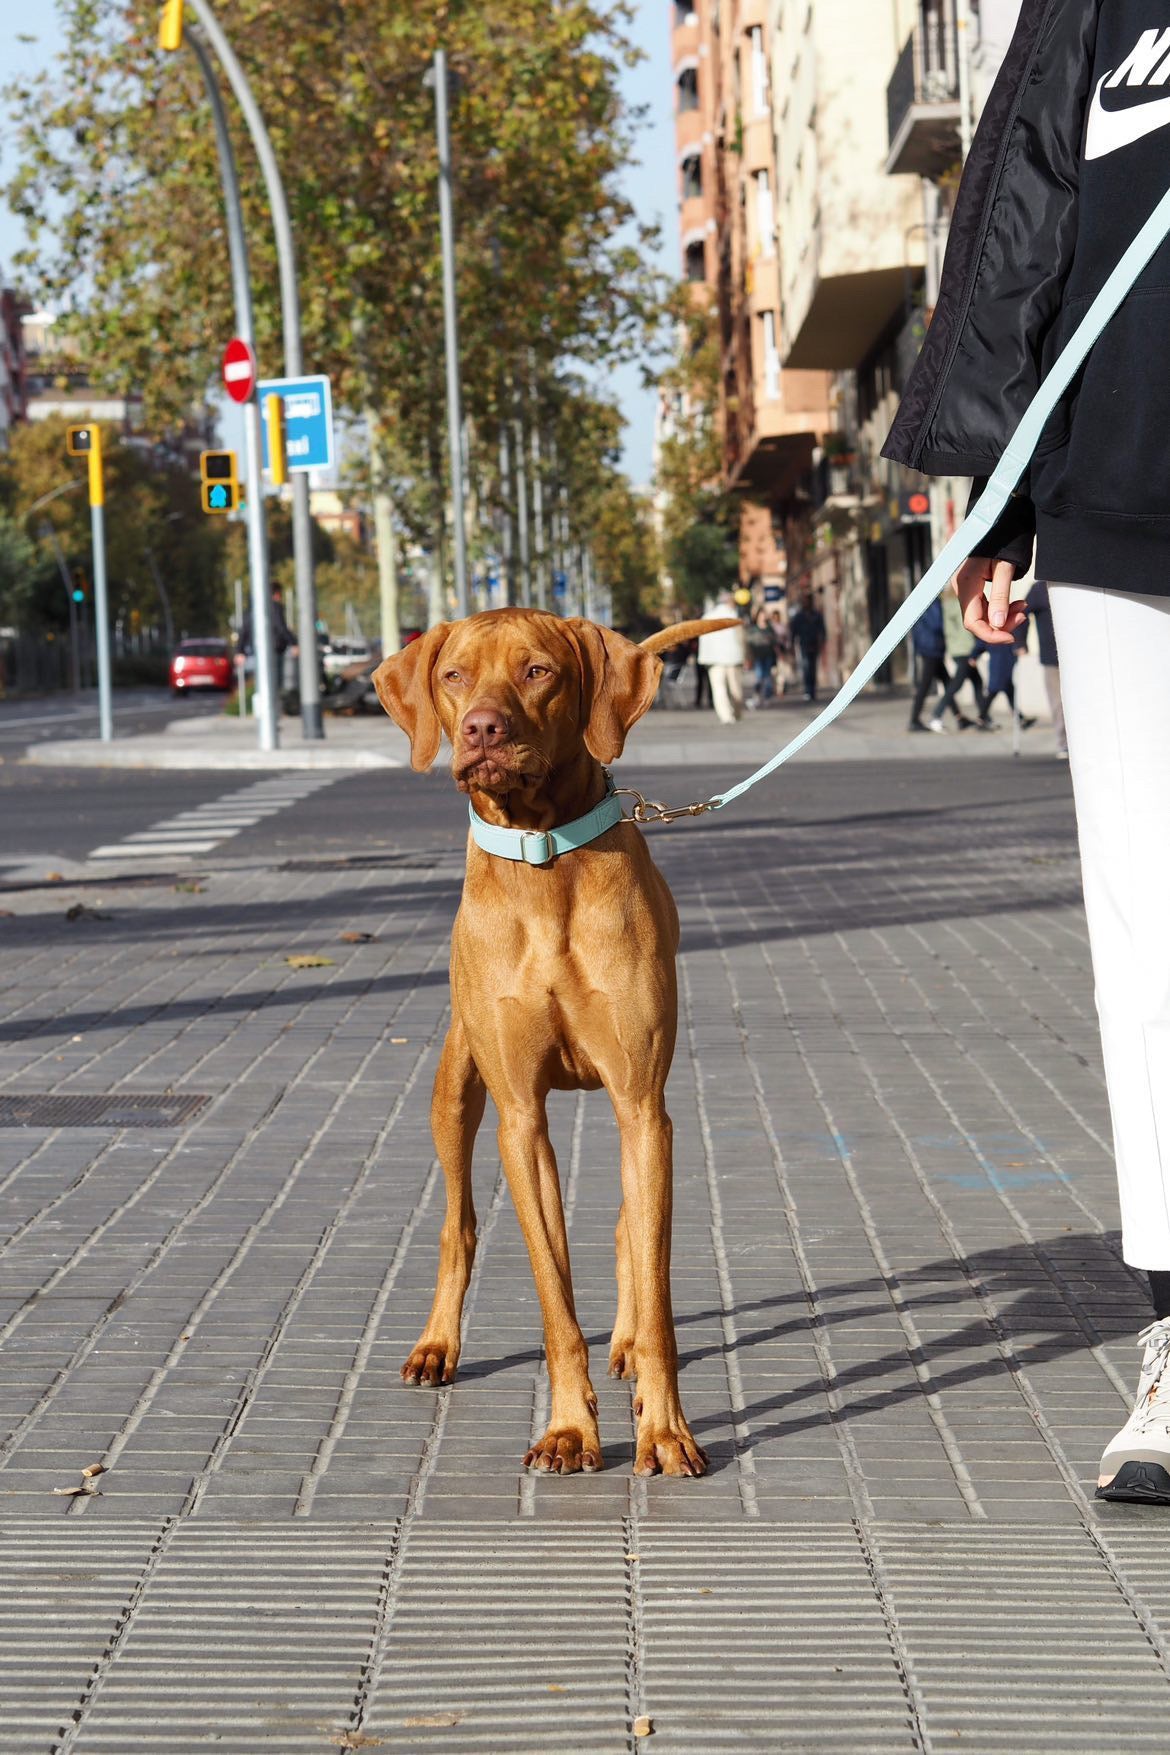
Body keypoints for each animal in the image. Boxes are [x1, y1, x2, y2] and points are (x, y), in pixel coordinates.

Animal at [375, 610, 726, 1474]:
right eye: (454, 675)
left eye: (538, 671)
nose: (480, 728)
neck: (544, 861)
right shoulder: (520, 1120)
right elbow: (555, 1303)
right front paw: (570, 1429)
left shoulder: (642, 1104)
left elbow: (657, 1290)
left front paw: (664, 1429)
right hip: (454, 1092)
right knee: (459, 1223)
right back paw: (437, 1344)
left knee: (631, 1228)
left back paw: (628, 1343)